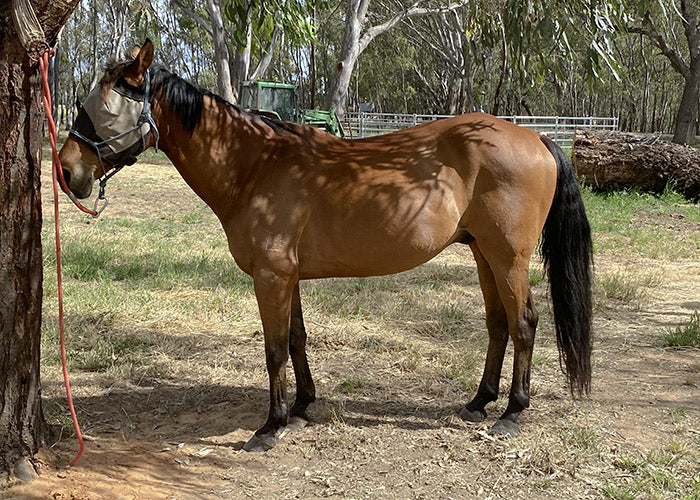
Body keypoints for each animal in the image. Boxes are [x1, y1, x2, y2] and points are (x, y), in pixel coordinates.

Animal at [57, 41, 592, 452]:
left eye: (99, 107)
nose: (65, 172)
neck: (256, 165)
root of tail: (535, 137)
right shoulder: (286, 275)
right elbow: (296, 339)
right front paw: (300, 407)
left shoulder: (271, 276)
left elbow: (274, 348)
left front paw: (270, 427)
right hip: (484, 254)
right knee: (498, 325)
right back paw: (480, 402)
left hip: (508, 258)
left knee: (524, 324)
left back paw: (512, 413)